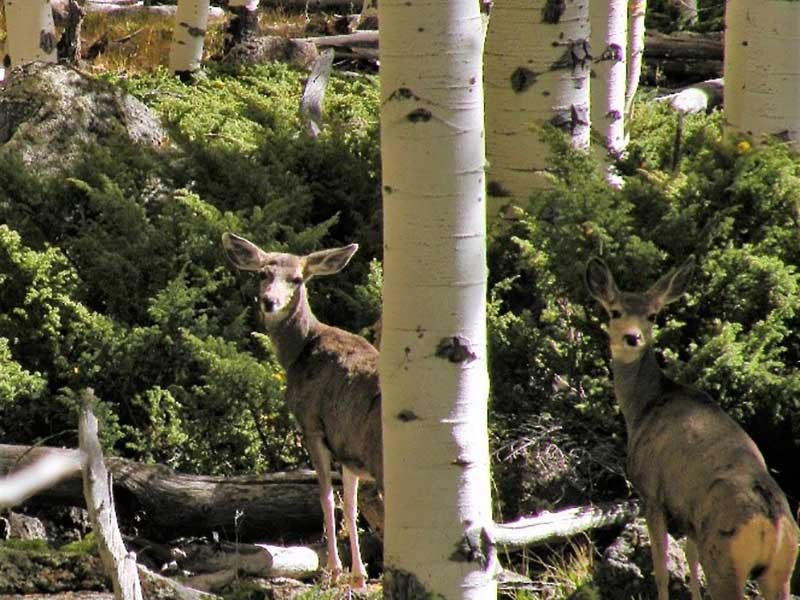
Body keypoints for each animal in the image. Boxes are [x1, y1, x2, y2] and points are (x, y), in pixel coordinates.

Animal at [222, 232, 382, 589]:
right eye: (263, 273)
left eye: (297, 279)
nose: (268, 301)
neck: (300, 351)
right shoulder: (345, 444)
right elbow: (350, 502)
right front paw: (358, 576)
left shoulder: (311, 423)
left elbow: (326, 497)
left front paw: (333, 570)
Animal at [585, 256, 799, 600]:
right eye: (615, 311)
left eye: (652, 315)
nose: (632, 337)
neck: (645, 405)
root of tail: (772, 522)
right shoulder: (690, 518)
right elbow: (690, 558)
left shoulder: (650, 491)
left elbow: (660, 568)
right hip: (781, 569)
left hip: (725, 560)